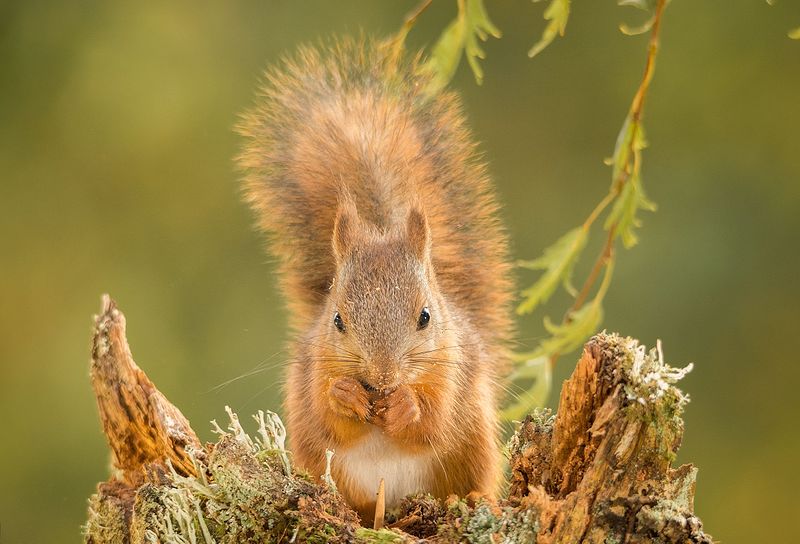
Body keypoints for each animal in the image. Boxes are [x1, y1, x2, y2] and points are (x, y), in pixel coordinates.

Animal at [236, 38, 512, 524]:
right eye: (337, 320)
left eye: (426, 316)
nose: (382, 379)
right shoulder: (315, 370)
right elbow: (330, 417)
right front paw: (347, 394)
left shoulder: (453, 372)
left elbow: (433, 422)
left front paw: (405, 406)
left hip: (476, 444)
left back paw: (471, 501)